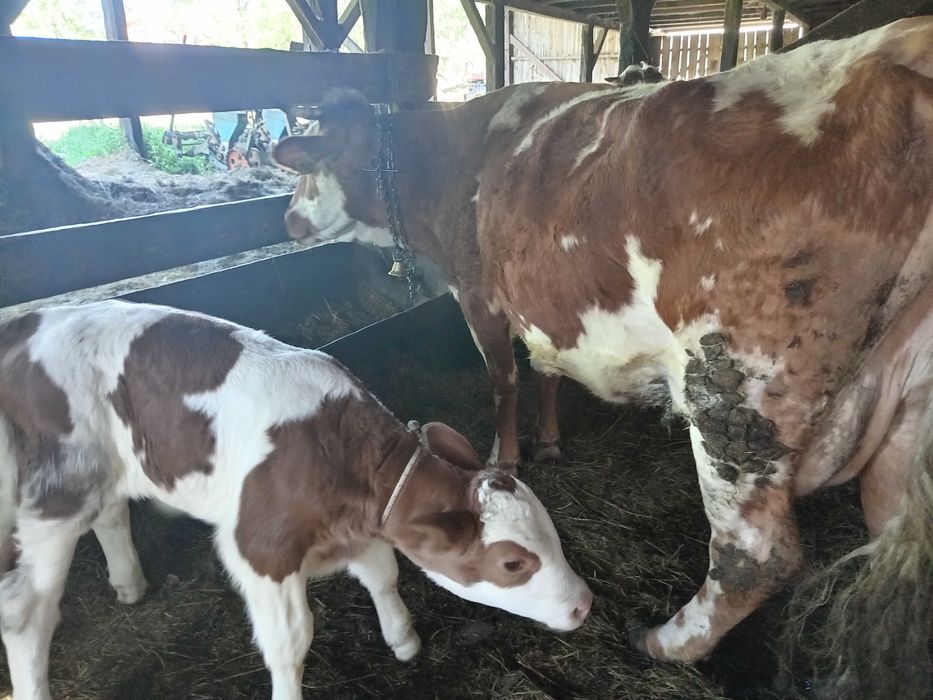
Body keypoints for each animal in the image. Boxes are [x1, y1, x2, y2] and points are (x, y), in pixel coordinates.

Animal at [0, 300, 592, 700]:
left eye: (552, 531)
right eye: (512, 562)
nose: (584, 604)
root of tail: (30, 320)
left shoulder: (360, 525)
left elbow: (383, 575)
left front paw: (402, 639)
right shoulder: (259, 549)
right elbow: (290, 640)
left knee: (110, 511)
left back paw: (129, 583)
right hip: (56, 487)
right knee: (26, 613)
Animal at [274, 17, 933, 697]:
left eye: (308, 168)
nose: (288, 219)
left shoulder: (478, 291)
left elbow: (502, 378)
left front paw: (507, 454)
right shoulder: (543, 307)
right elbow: (545, 370)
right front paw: (550, 441)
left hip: (741, 393)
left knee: (754, 554)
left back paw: (666, 641)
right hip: (903, 425)